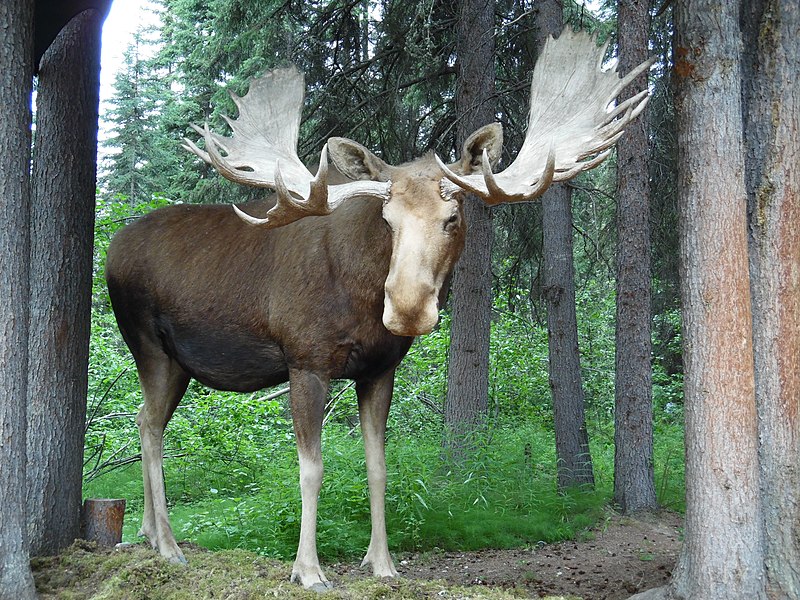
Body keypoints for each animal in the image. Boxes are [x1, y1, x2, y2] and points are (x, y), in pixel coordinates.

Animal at [106, 29, 652, 592]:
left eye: (452, 216)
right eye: (387, 218)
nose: (407, 308)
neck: (360, 298)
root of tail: (111, 249)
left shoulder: (378, 370)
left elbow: (378, 466)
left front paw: (383, 563)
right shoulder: (306, 361)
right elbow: (312, 467)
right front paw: (309, 569)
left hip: (178, 363)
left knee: (146, 420)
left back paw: (149, 534)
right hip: (148, 345)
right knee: (148, 426)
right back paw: (168, 545)